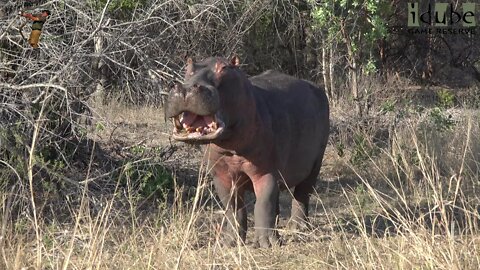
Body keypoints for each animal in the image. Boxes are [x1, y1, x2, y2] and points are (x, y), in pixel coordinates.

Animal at [166, 56, 330, 247]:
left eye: (224, 67)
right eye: (189, 67)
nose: (185, 89)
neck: (231, 146)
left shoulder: (267, 172)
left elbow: (263, 204)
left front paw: (268, 245)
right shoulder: (221, 175)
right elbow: (233, 208)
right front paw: (229, 243)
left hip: (316, 162)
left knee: (302, 194)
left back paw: (299, 228)